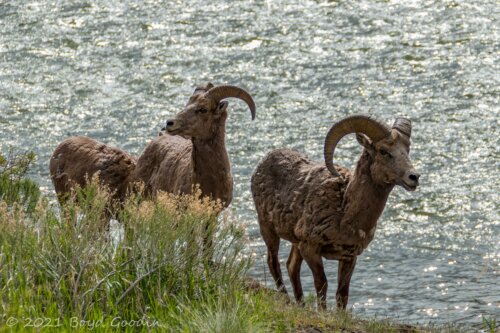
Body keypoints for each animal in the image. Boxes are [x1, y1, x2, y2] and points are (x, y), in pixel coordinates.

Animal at [252, 115, 420, 310]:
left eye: (407, 149)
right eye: (383, 151)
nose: (414, 177)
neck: (345, 212)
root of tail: (262, 164)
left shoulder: (349, 257)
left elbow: (342, 294)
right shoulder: (311, 249)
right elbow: (322, 285)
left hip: (295, 242)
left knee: (292, 266)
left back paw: (301, 306)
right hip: (268, 229)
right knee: (273, 263)